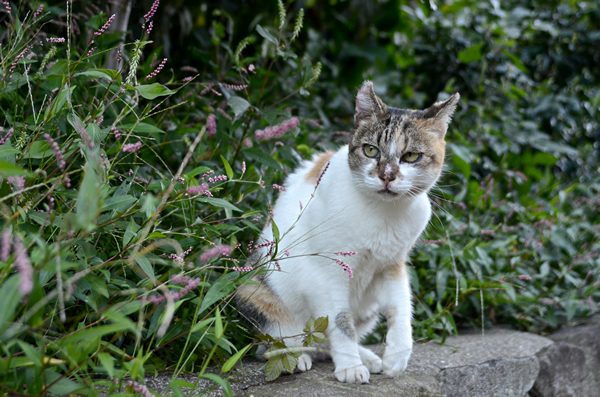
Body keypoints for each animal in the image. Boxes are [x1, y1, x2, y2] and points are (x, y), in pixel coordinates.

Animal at [236, 81, 460, 384]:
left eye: (411, 156)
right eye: (371, 150)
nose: (387, 175)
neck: (383, 214)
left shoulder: (392, 265)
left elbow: (401, 308)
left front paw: (397, 355)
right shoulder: (327, 272)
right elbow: (340, 322)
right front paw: (350, 366)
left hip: (367, 310)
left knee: (322, 343)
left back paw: (366, 356)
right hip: (254, 289)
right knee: (277, 342)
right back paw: (293, 358)